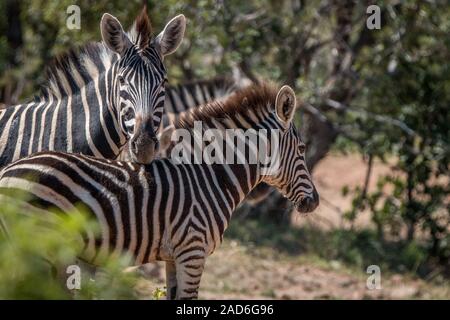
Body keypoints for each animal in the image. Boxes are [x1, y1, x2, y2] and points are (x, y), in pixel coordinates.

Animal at [0, 82, 320, 300]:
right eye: (303, 149)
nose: (314, 202)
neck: (212, 177)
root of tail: (7, 172)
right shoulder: (193, 251)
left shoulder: (173, 256)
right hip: (41, 243)